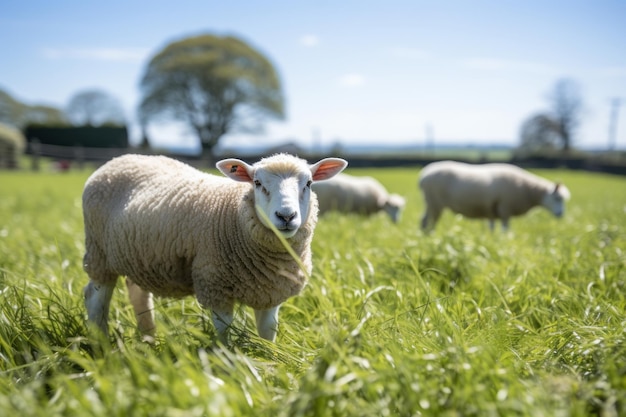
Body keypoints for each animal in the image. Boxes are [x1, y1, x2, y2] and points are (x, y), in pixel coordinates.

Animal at [81, 153, 346, 342]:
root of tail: (119, 159)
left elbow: (268, 333)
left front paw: (270, 364)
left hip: (138, 257)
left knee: (138, 295)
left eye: (309, 183)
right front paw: (225, 364)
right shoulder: (215, 285)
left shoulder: (272, 291)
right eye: (257, 183)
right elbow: (223, 332)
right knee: (95, 298)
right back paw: (101, 346)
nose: (286, 216)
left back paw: (149, 339)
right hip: (99, 253)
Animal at [416, 160, 568, 231]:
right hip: (435, 202)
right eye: (557, 198)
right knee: (431, 221)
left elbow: (492, 228)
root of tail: (424, 175)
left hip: (429, 202)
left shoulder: (492, 211)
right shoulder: (505, 208)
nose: (561, 214)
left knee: (424, 220)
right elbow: (505, 230)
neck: (527, 189)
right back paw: (431, 235)